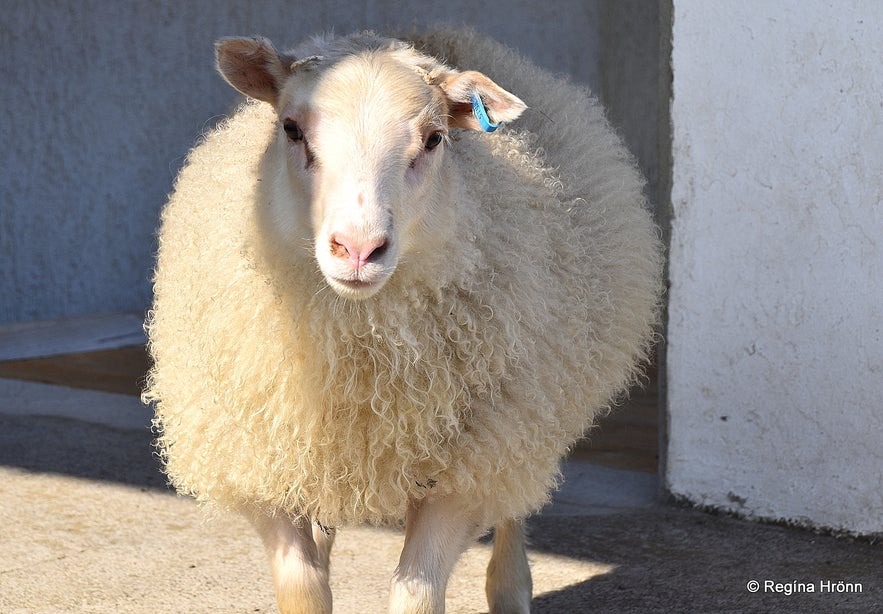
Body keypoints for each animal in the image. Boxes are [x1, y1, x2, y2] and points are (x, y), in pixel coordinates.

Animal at [143, 27, 664, 614]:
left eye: (435, 139)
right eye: (291, 128)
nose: (358, 249)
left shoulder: (462, 475)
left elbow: (416, 593)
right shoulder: (259, 462)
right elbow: (304, 586)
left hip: (525, 420)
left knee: (513, 506)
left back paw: (510, 589)